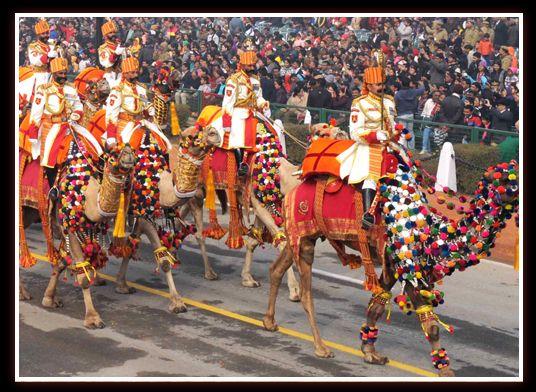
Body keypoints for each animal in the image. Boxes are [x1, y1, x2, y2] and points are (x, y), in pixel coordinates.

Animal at [262, 142, 516, 376]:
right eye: (507, 179)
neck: (430, 232)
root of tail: (293, 189)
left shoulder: (393, 265)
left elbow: (376, 305)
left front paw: (370, 353)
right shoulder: (405, 262)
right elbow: (430, 322)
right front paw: (446, 372)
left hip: (300, 235)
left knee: (277, 268)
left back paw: (269, 322)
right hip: (305, 235)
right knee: (306, 292)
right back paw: (321, 348)